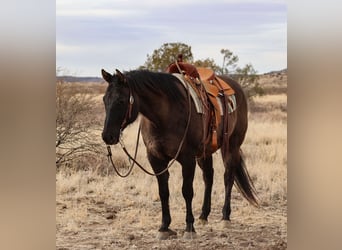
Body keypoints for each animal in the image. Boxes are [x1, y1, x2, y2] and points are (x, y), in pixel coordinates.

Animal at [100, 68, 258, 238]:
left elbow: (187, 191)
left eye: (121, 101)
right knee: (208, 177)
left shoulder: (187, 159)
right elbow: (163, 192)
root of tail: (236, 87)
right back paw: (204, 216)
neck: (164, 115)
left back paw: (225, 217)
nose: (107, 136)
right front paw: (164, 227)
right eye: (104, 100)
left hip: (231, 146)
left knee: (228, 177)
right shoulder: (156, 159)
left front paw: (189, 227)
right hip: (204, 152)